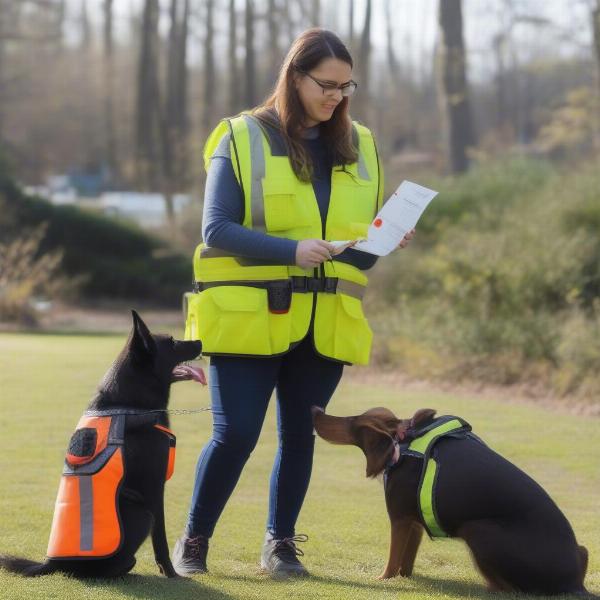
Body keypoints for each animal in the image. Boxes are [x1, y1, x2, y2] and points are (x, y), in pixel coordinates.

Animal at [0, 310, 204, 576]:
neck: (131, 404)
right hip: (140, 512)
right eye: (171, 342)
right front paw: (172, 574)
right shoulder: (154, 488)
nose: (201, 341)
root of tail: (51, 563)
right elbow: (161, 540)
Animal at [314, 404, 592, 596]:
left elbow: (392, 564)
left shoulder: (399, 519)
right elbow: (405, 564)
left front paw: (383, 580)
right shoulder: (413, 522)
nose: (315, 409)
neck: (403, 442)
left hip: (477, 529)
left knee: (510, 590)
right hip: (583, 551)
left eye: (351, 421)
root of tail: (575, 584)